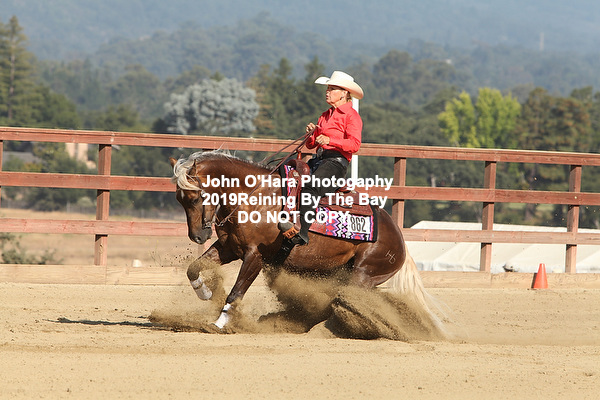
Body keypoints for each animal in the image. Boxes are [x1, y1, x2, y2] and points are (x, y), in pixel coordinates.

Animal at [170, 150, 441, 332]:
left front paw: (219, 323)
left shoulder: (255, 256)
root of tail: (399, 239)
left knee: (343, 303)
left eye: (195, 197)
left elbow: (236, 293)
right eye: (179, 199)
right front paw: (205, 293)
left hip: (362, 276)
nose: (197, 236)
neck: (254, 196)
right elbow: (193, 268)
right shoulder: (228, 249)